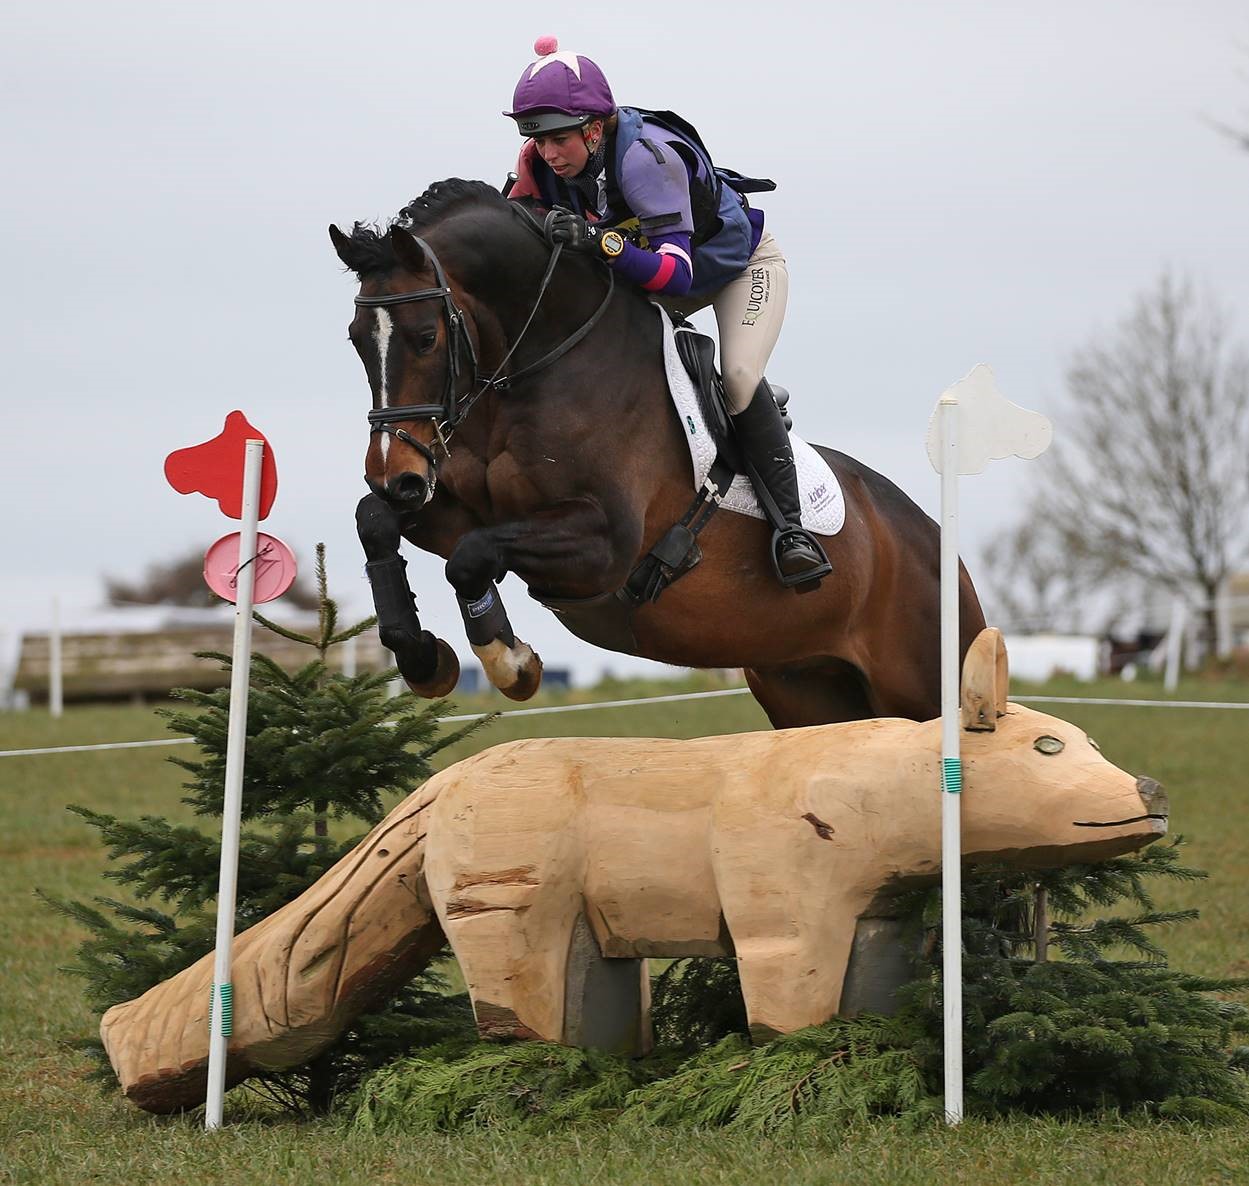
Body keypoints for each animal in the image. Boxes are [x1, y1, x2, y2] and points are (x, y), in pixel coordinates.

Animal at [329, 179, 984, 729]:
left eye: (425, 338)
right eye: (356, 342)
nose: (395, 475)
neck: (541, 363)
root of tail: (937, 546)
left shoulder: (603, 545)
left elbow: (469, 558)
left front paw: (511, 664)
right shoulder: (458, 511)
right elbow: (377, 523)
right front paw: (423, 659)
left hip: (927, 685)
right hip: (807, 690)